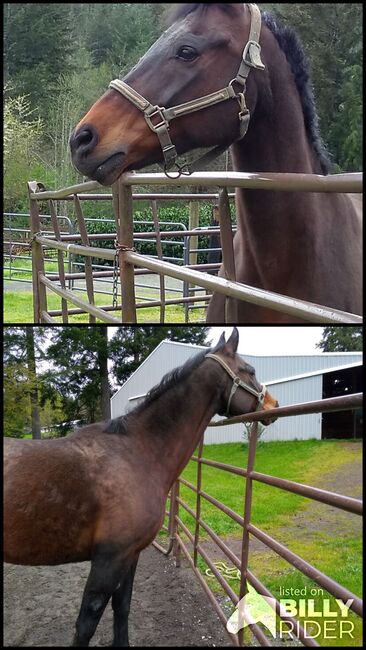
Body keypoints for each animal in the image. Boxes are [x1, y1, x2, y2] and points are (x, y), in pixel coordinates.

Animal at [3, 326, 278, 644]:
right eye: (250, 370)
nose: (273, 405)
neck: (138, 452)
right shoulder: (110, 559)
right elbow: (87, 622)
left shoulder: (130, 555)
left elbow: (122, 608)